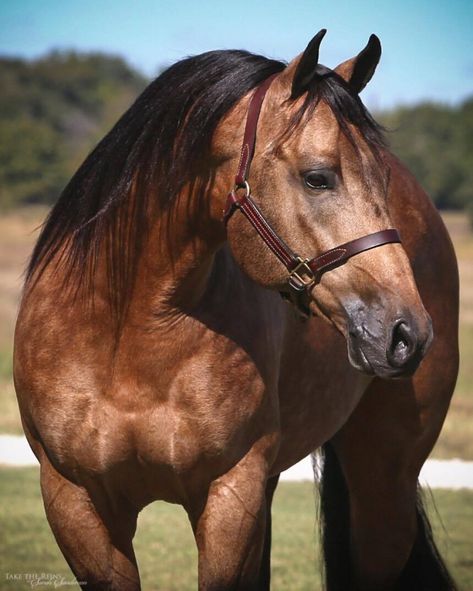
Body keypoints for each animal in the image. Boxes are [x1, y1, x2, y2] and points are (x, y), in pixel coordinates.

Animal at [13, 32, 458, 591]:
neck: (128, 337)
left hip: (384, 487)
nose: (408, 334)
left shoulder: (230, 496)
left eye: (382, 176)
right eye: (317, 178)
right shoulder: (76, 503)